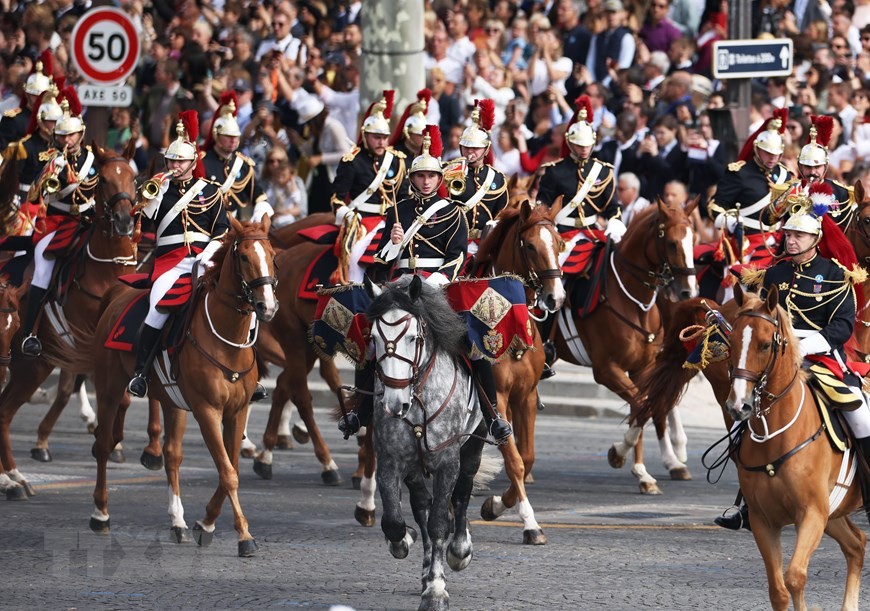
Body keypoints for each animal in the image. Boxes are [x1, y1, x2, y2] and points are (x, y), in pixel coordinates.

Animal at [0, 146, 136, 500]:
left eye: (134, 178)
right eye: (104, 180)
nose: (124, 221)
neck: (108, 269)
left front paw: (112, 440)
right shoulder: (89, 344)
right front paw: (106, 437)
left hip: (32, 366)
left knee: (4, 413)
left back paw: (14, 478)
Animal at [84, 218, 278, 556]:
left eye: (272, 255)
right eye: (244, 257)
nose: (267, 306)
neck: (228, 340)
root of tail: (118, 292)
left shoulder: (237, 411)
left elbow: (230, 468)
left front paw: (206, 523)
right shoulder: (207, 411)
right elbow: (227, 472)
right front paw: (244, 536)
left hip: (172, 401)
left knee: (172, 455)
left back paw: (178, 521)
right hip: (109, 390)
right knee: (104, 444)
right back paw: (101, 513)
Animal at [366, 276, 490, 611]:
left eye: (412, 337)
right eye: (373, 338)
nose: (395, 404)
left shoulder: (448, 461)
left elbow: (438, 524)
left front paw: (436, 590)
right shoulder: (390, 461)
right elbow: (394, 521)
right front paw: (403, 542)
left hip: (472, 447)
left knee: (461, 494)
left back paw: (459, 549)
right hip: (415, 469)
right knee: (422, 505)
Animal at [556, 201, 704, 498]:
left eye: (693, 240)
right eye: (671, 243)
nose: (688, 291)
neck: (634, 303)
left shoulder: (643, 368)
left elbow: (647, 408)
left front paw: (647, 470)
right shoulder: (607, 370)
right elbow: (642, 405)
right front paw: (622, 456)